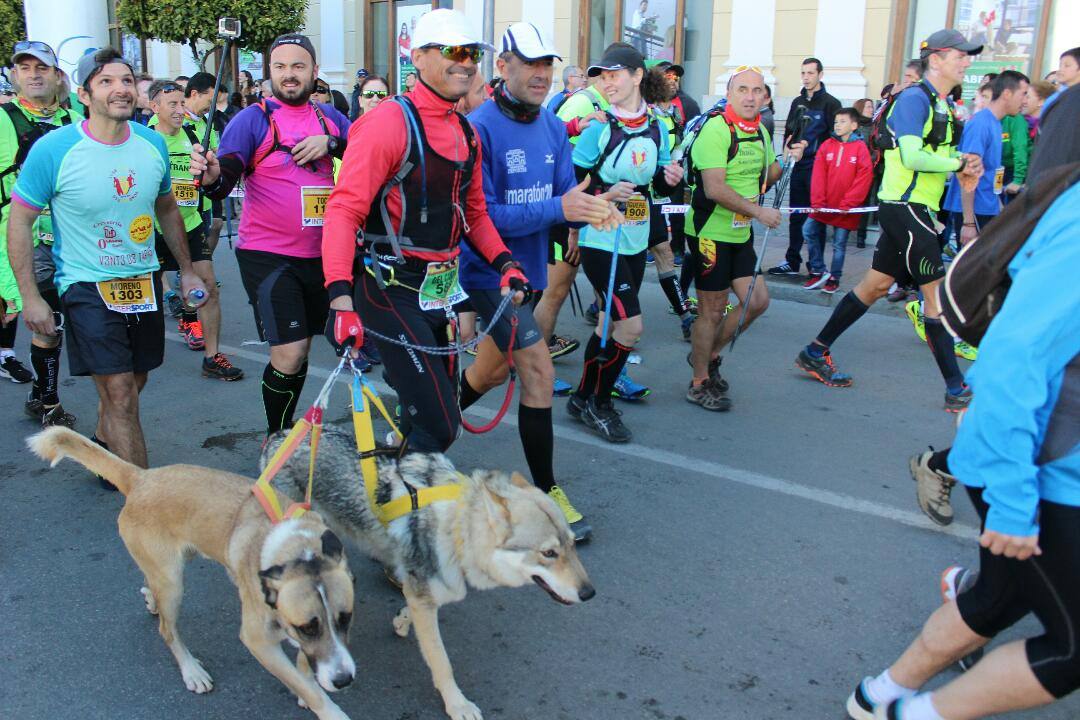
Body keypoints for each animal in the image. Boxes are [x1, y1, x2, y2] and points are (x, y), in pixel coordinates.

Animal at [27, 427, 356, 720]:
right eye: (307, 628)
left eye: (345, 618)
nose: (344, 681)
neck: (298, 548)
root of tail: (141, 477)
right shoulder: (258, 641)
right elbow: (307, 685)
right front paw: (324, 705)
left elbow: (304, 666)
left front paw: (307, 681)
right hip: (173, 583)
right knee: (167, 630)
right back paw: (191, 670)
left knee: (150, 582)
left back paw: (150, 598)